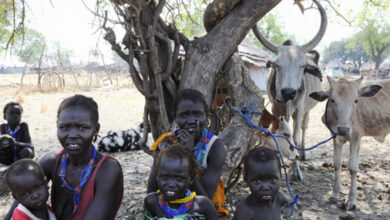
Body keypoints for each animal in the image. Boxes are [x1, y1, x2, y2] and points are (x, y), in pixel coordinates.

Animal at [254, 0, 328, 167]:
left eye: (303, 66)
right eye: (276, 64)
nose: (288, 92)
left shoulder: (299, 109)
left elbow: (295, 137)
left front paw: (296, 167)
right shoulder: (275, 108)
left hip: (307, 110)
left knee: (304, 127)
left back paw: (303, 154)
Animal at [310, 76, 386, 211]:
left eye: (356, 100)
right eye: (332, 99)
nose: (343, 129)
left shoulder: (356, 137)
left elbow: (352, 167)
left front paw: (351, 200)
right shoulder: (335, 136)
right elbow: (336, 164)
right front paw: (334, 195)